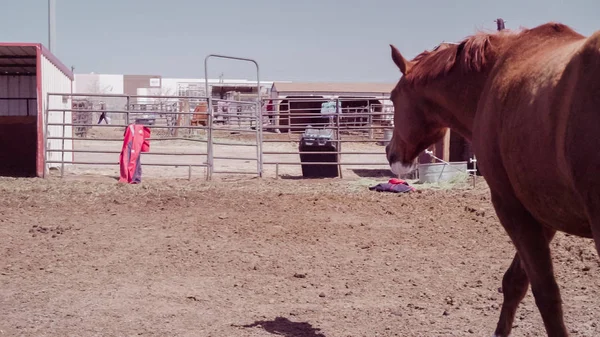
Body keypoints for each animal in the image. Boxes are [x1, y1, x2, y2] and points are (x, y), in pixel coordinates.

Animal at [384, 21, 600, 336]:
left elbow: (545, 295)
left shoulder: (511, 207)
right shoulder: (543, 214)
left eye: (392, 98)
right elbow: (516, 283)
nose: (390, 153)